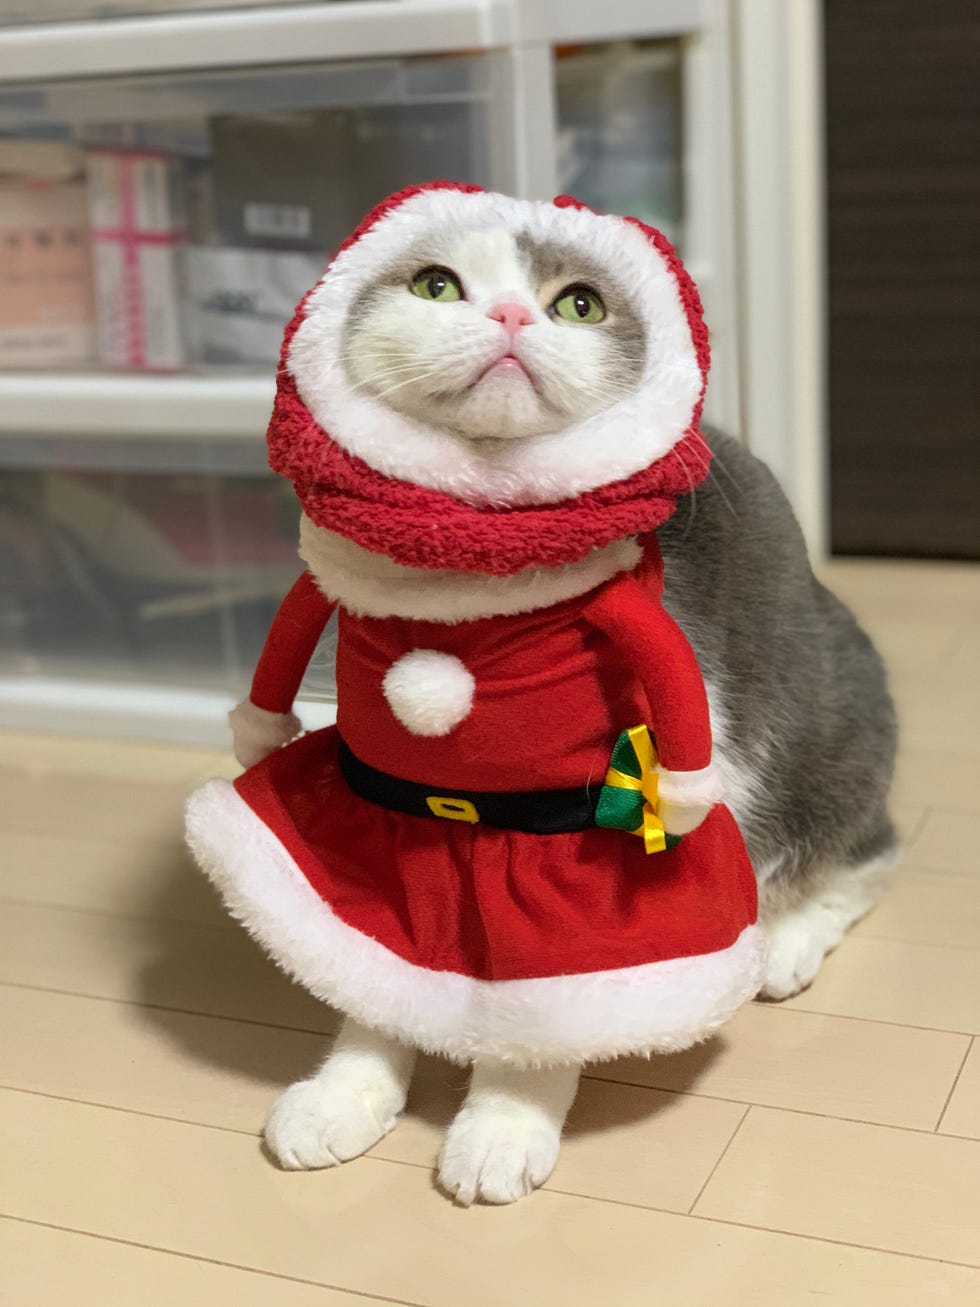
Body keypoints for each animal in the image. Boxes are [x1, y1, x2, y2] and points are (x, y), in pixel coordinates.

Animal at [236, 211, 898, 1202]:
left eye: (577, 303)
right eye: (437, 284)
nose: (511, 313)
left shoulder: (601, 814)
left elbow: (551, 992)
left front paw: (505, 1120)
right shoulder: (380, 800)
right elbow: (369, 959)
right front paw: (346, 1091)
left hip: (824, 741)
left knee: (865, 854)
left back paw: (782, 942)